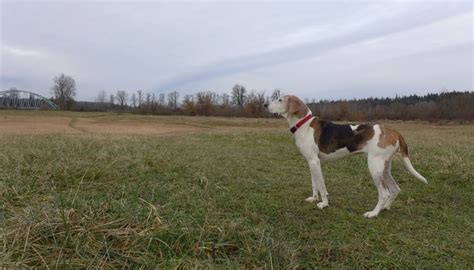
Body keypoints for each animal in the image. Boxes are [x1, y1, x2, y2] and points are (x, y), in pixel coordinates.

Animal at [264, 95, 428, 217]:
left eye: (280, 99)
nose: (265, 105)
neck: (303, 124)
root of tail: (393, 131)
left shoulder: (315, 162)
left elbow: (322, 186)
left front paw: (324, 203)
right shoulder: (311, 162)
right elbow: (314, 183)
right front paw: (314, 198)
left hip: (374, 166)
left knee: (384, 193)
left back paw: (374, 213)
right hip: (385, 167)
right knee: (395, 189)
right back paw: (385, 208)